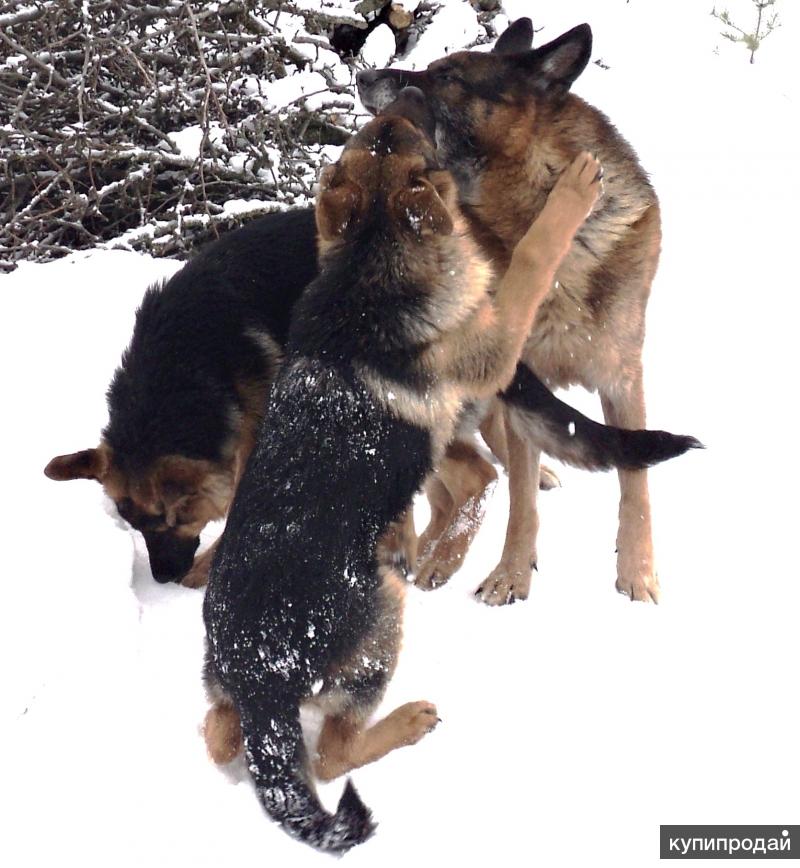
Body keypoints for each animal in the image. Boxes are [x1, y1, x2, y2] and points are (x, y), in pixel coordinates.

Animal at [203, 90, 604, 856]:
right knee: (331, 756)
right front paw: (570, 194)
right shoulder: (494, 338)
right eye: (406, 142)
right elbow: (532, 259)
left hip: (222, 687)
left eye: (374, 139)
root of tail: (259, 670)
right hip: (382, 608)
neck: (372, 250)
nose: (398, 101)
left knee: (216, 735)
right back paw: (409, 720)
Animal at [360, 18, 696, 604]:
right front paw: (510, 575)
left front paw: (637, 575)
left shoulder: (621, 378)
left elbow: (634, 480)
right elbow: (519, 501)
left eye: (447, 76)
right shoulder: (521, 382)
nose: (363, 76)